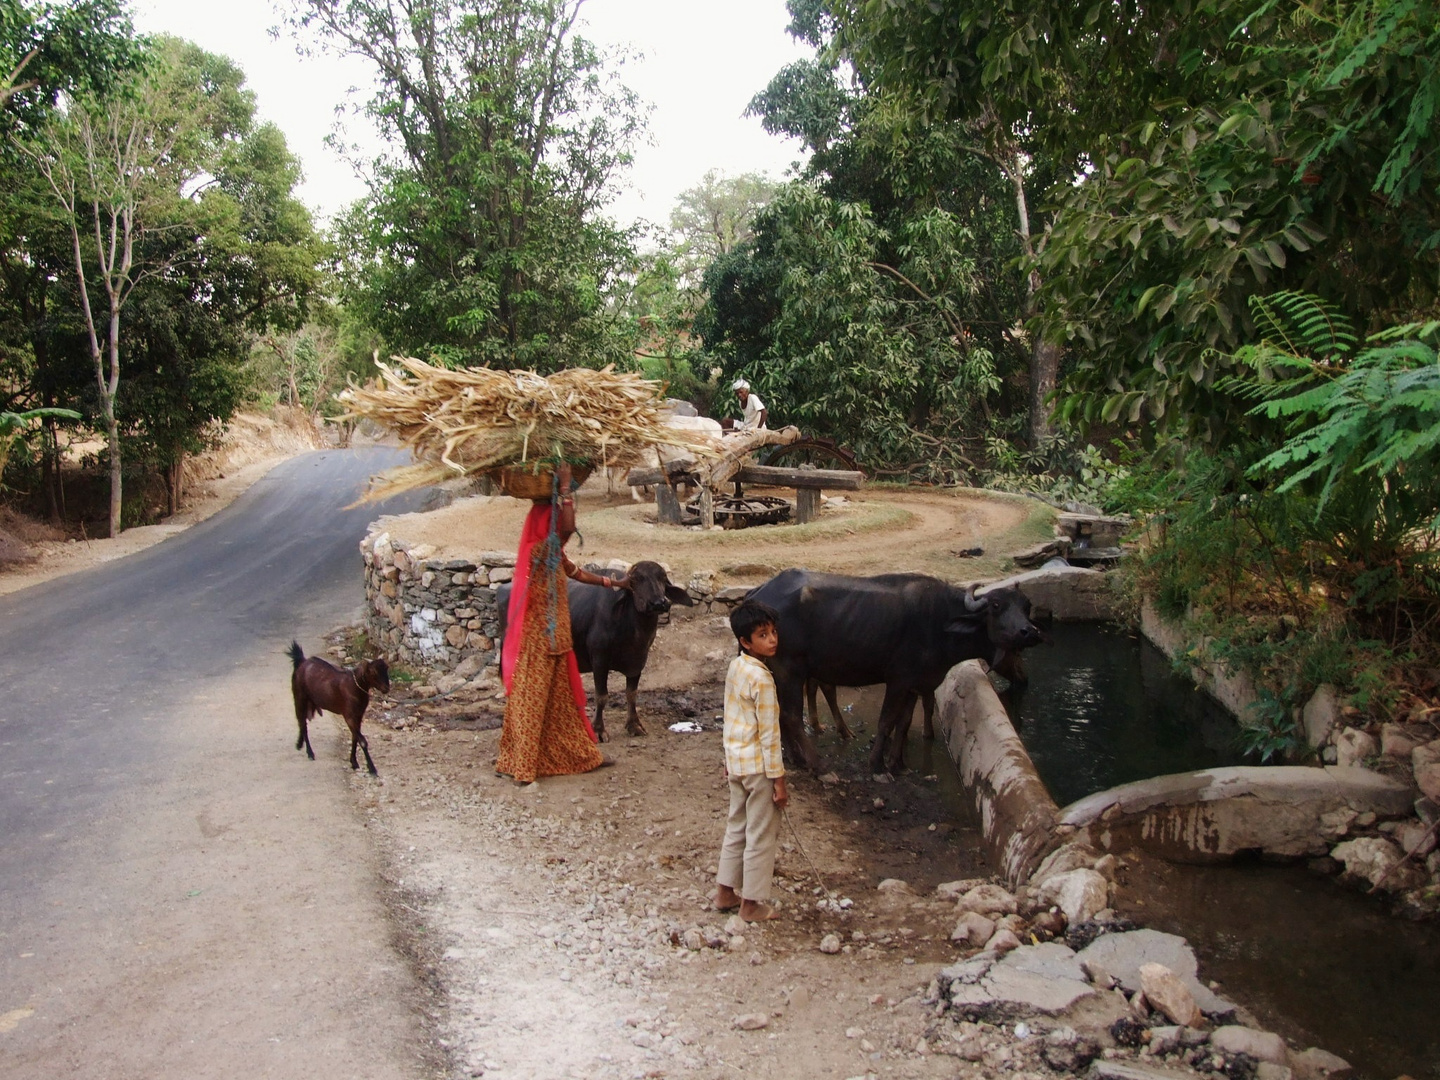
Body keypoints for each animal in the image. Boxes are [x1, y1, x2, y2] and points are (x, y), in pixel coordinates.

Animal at [498, 558, 694, 743]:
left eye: (662, 578)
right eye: (637, 579)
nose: (659, 603)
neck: (631, 629)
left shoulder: (638, 661)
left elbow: (631, 694)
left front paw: (634, 725)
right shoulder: (599, 660)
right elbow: (602, 696)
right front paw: (598, 730)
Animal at [748, 570, 1042, 771]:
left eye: (1027, 606)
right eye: (996, 606)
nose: (1029, 632)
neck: (940, 623)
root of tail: (758, 595)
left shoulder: (915, 684)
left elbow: (904, 723)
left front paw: (897, 762)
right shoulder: (898, 680)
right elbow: (886, 721)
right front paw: (876, 762)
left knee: (779, 712)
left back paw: (793, 757)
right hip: (789, 669)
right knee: (791, 715)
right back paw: (814, 762)